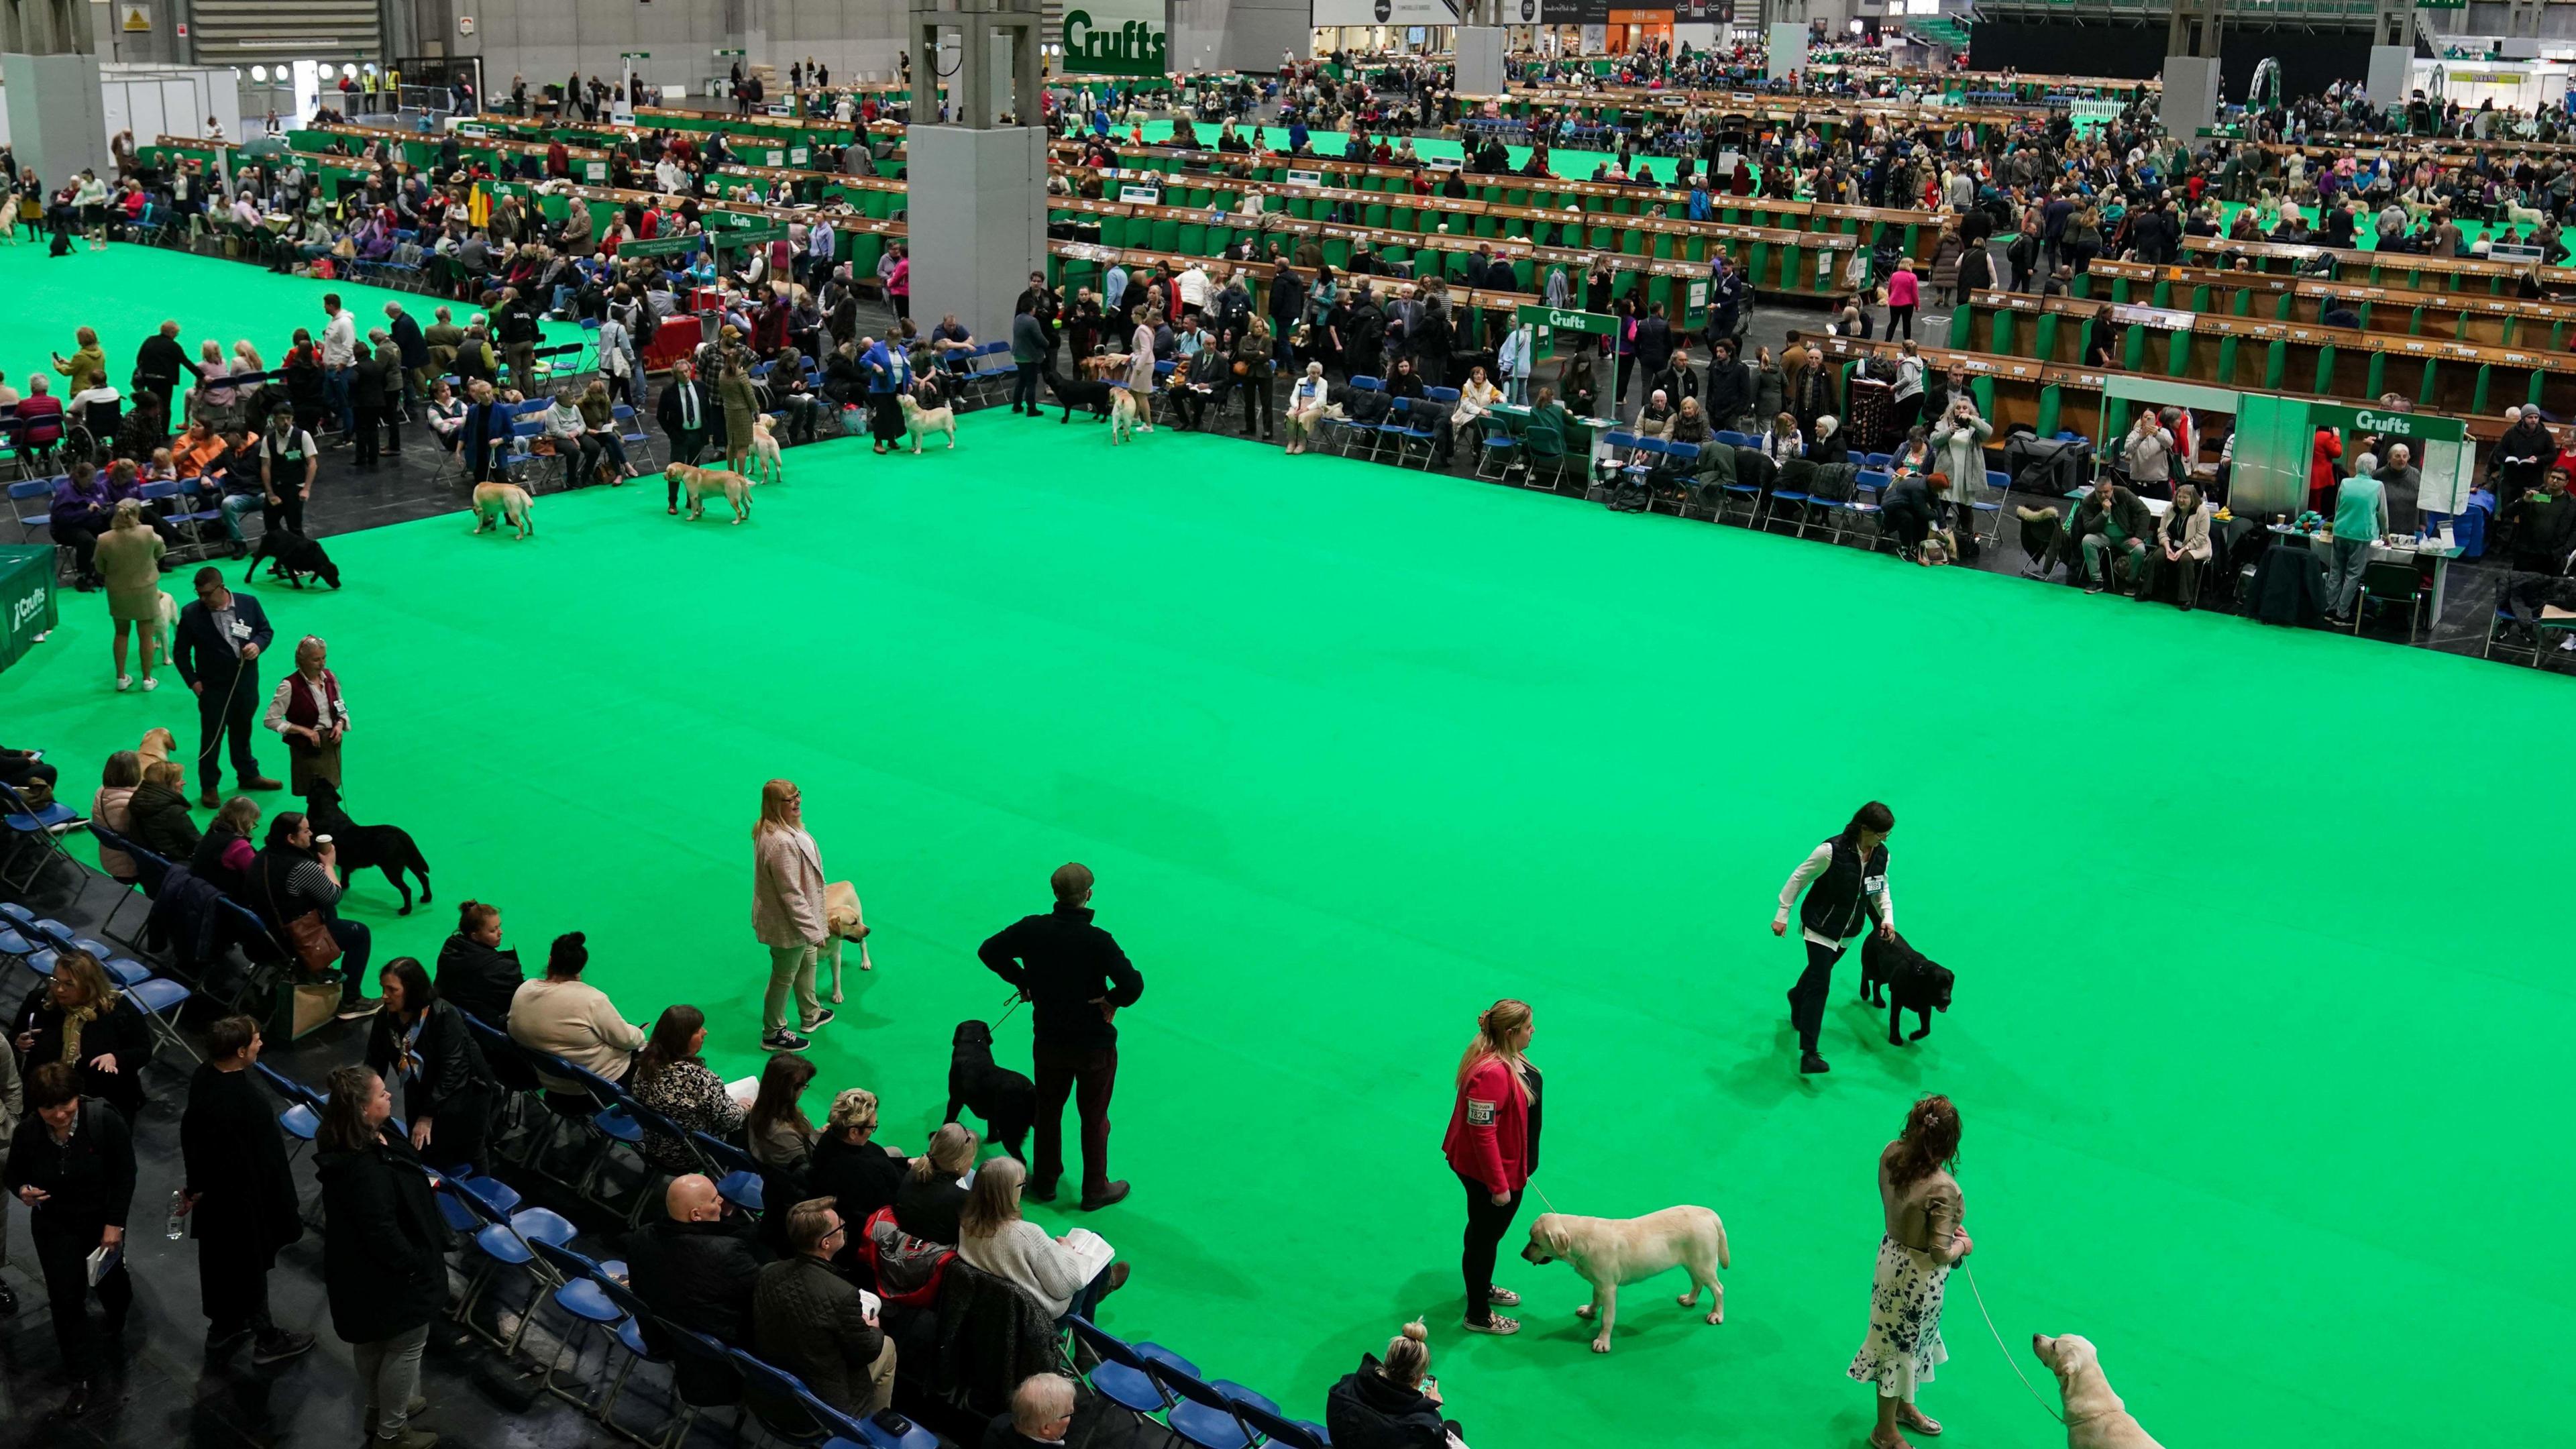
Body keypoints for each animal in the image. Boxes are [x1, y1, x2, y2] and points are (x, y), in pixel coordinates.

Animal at [948, 1016, 1035, 1160]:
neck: (973, 1046)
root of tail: (1028, 1089)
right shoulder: (992, 1112)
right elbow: (992, 1125)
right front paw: (993, 1138)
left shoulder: (955, 1099)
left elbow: (948, 1118)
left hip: (1009, 1130)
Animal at [1854, 928, 1947, 1041]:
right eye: (1937, 985)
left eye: (1950, 986)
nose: (1947, 1000)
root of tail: (1877, 928)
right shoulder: (1897, 999)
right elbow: (1895, 1020)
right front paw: (1895, 1039)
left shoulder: (1925, 1007)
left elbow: (1926, 1029)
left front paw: (1914, 1036)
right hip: (1872, 968)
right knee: (1865, 974)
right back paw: (1864, 992)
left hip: (1884, 975)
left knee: (1876, 984)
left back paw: (1878, 1001)